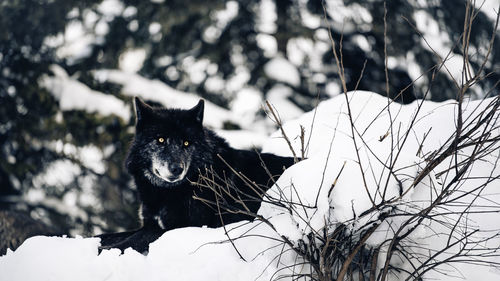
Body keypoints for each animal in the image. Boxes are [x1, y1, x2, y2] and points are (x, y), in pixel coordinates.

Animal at [97, 98, 294, 252]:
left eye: (186, 143)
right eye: (160, 139)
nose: (177, 168)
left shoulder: (183, 227)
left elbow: (135, 240)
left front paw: (106, 250)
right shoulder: (150, 223)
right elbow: (108, 235)